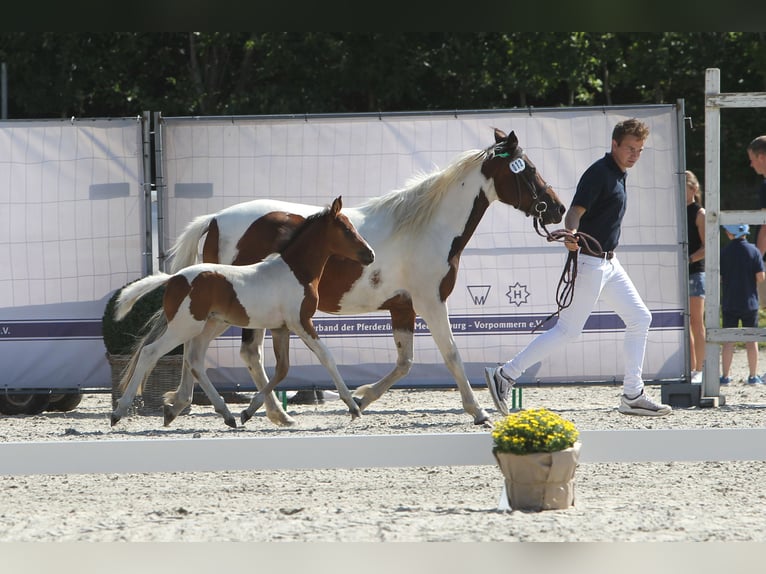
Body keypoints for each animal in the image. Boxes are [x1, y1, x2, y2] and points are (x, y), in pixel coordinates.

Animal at [110, 198, 376, 428]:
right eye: (347, 229)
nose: (370, 255)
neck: (296, 271)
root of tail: (175, 277)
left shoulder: (281, 327)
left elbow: (283, 369)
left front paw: (250, 412)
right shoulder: (300, 321)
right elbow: (325, 357)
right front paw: (354, 407)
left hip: (210, 325)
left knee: (194, 360)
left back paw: (223, 414)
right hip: (185, 326)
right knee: (150, 353)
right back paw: (119, 411)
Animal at [166, 129, 564, 428]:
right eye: (526, 170)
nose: (556, 208)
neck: (426, 229)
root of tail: (215, 219)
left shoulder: (403, 308)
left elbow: (404, 363)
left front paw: (361, 397)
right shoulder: (431, 302)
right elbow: (451, 353)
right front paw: (479, 411)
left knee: (219, 349)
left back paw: (208, 407)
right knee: (234, 350)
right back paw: (245, 411)